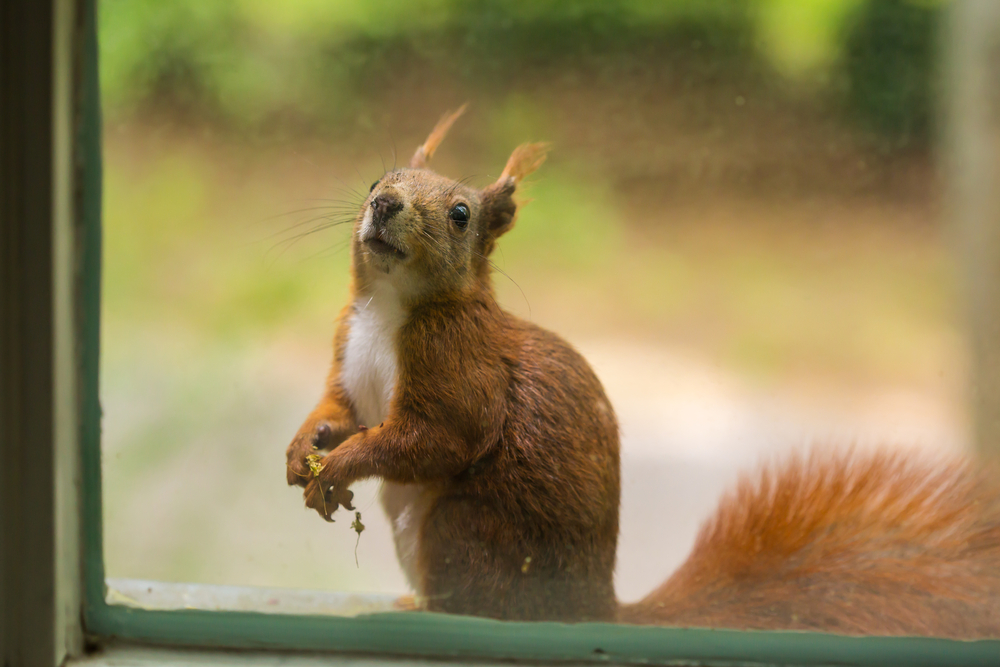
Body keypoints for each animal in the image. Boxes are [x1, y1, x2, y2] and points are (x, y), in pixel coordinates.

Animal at [288, 107, 1000, 640]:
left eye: (461, 214)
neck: (390, 306)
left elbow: (437, 438)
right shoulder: (348, 357)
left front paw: (344, 462)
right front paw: (305, 449)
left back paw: (430, 609)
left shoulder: (460, 365)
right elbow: (338, 409)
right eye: (378, 178)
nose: (383, 204)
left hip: (461, 532)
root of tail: (592, 610)